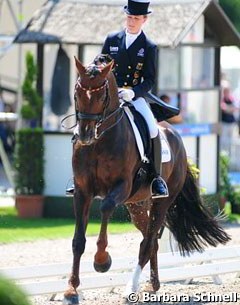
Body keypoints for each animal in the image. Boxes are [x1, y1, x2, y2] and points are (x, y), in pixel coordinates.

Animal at [63, 55, 231, 302]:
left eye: (102, 96)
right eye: (76, 93)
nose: (84, 135)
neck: (100, 141)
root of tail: (177, 137)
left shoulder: (121, 187)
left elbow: (105, 208)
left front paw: (102, 261)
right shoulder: (82, 191)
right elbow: (77, 241)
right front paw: (71, 289)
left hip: (161, 202)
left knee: (148, 241)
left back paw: (131, 288)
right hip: (138, 204)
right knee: (150, 242)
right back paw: (153, 284)